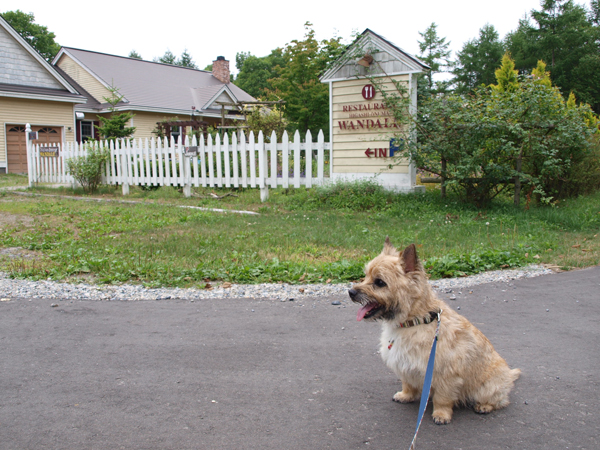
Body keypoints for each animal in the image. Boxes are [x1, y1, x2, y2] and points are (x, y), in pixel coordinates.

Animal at [346, 237, 520, 424]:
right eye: (366, 276)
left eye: (379, 282)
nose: (351, 292)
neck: (415, 321)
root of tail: (508, 375)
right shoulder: (405, 364)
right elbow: (408, 383)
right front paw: (406, 395)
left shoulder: (446, 374)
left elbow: (442, 398)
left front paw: (441, 414)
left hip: (488, 386)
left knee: (499, 399)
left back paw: (484, 406)